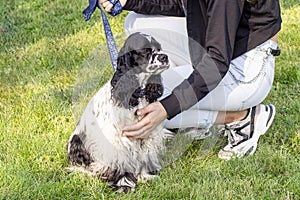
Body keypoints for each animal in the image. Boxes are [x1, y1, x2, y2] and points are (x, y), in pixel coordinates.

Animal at [68, 32, 170, 192]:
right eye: (145, 51)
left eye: (159, 48)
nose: (164, 57)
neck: (137, 92)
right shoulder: (117, 140)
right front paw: (124, 184)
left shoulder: (146, 133)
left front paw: (145, 176)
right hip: (78, 140)